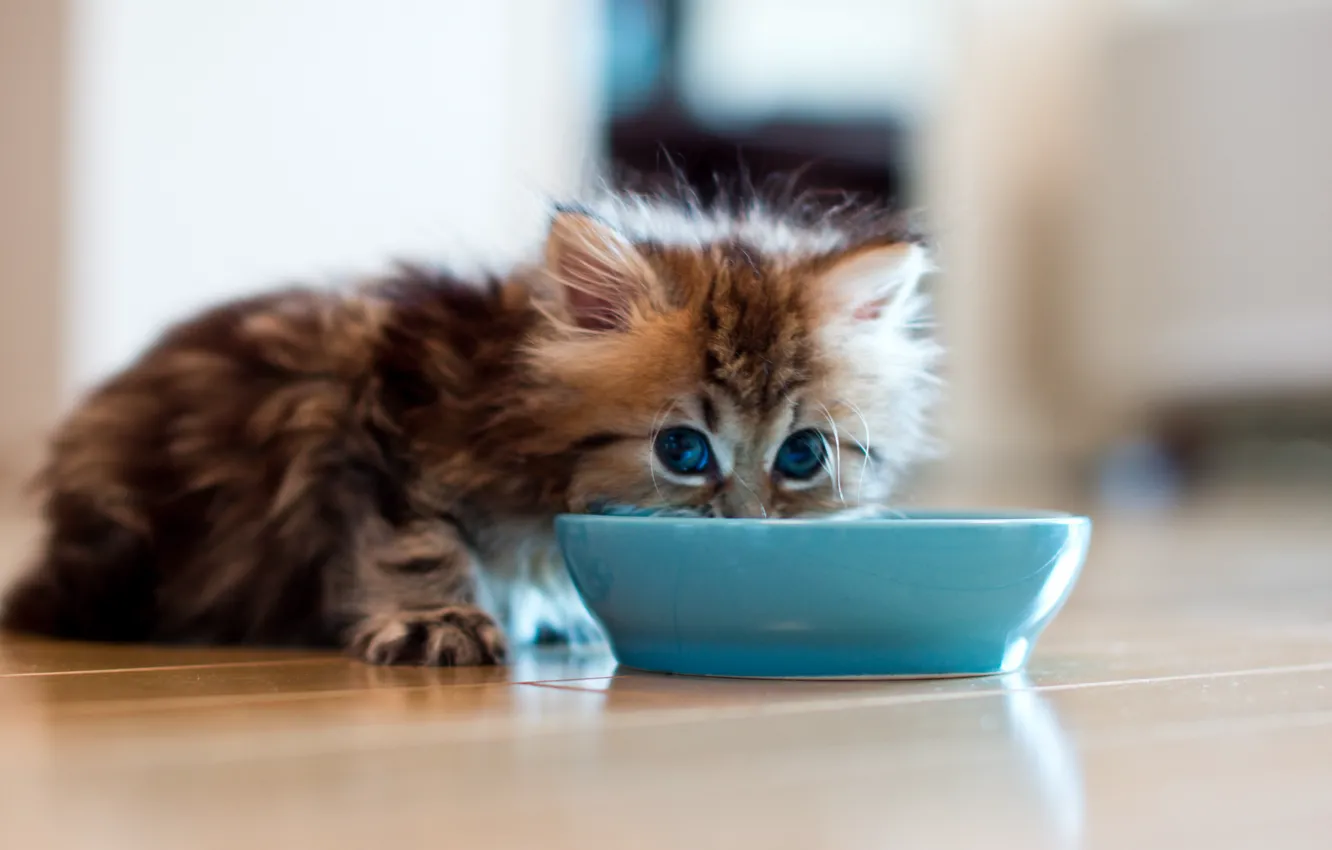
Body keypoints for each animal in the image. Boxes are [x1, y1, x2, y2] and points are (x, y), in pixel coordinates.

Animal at [0, 191, 943, 666]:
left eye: (802, 454)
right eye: (683, 450)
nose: (746, 528)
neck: (504, 392)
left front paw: (548, 607)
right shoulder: (376, 418)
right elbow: (416, 541)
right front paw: (437, 621)